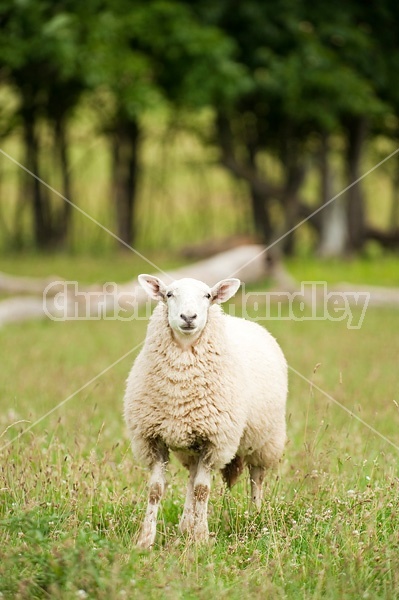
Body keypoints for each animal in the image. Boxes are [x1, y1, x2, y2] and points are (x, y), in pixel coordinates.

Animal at [125, 276, 288, 548]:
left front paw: (200, 539)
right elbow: (156, 490)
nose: (188, 317)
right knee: (191, 479)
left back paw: (255, 515)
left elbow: (203, 490)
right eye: (169, 294)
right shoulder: (154, 439)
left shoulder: (215, 442)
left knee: (256, 477)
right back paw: (184, 526)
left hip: (266, 439)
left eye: (207, 296)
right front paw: (145, 540)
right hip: (190, 446)